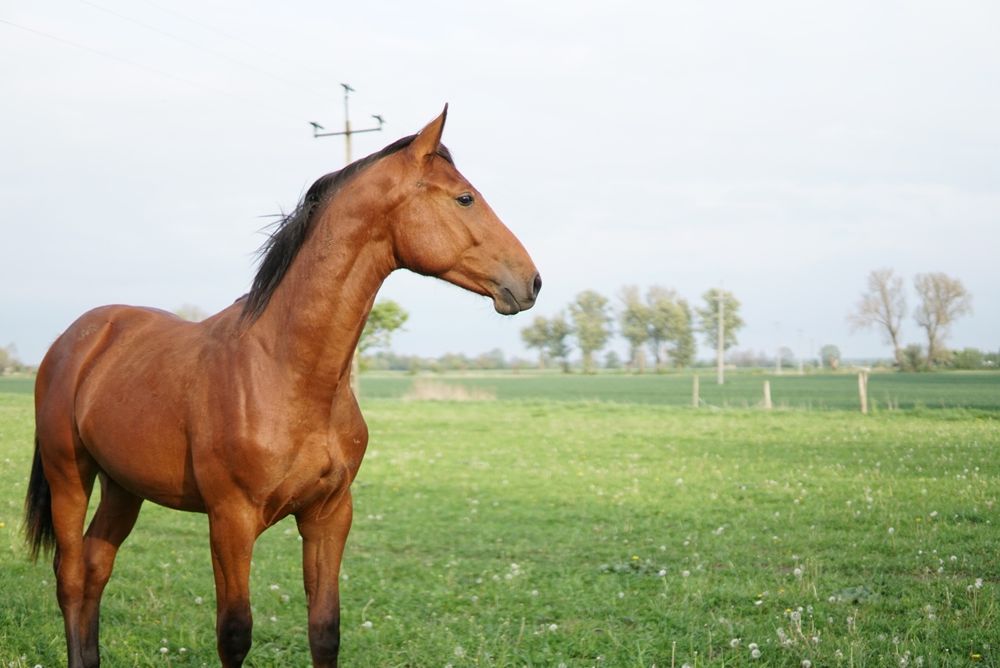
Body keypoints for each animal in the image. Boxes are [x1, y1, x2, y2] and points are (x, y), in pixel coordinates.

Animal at [23, 109, 540, 668]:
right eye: (465, 198)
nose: (530, 282)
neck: (286, 371)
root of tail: (74, 339)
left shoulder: (329, 515)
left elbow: (325, 629)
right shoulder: (231, 519)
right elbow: (234, 633)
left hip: (124, 486)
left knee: (96, 567)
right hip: (70, 477)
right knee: (72, 577)